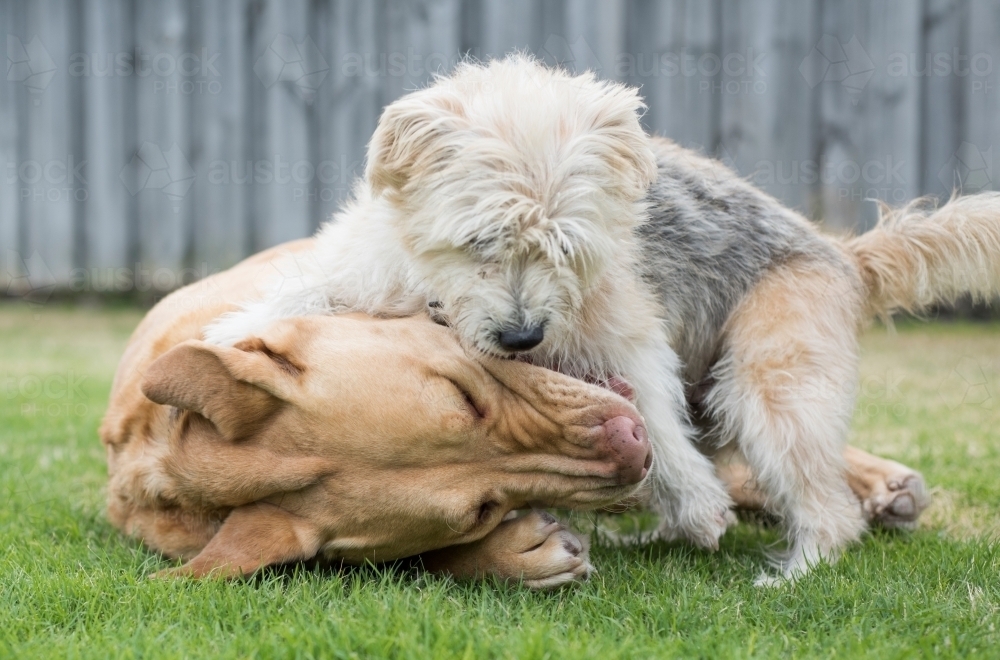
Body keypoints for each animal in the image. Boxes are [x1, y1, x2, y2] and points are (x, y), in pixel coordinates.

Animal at [203, 54, 736, 552]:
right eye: (480, 239)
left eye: (563, 246)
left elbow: (653, 409)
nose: (522, 338)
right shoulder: (366, 269)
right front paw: (233, 333)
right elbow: (309, 291)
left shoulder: (623, 334)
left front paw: (694, 498)